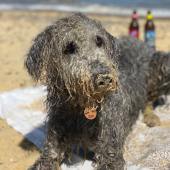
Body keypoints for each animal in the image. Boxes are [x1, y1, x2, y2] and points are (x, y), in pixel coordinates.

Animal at [25, 13, 170, 170]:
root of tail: (139, 42)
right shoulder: (55, 136)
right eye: (69, 47)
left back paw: (151, 117)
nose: (104, 79)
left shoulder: (110, 143)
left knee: (149, 100)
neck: (82, 106)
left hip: (163, 65)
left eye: (99, 41)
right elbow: (48, 157)